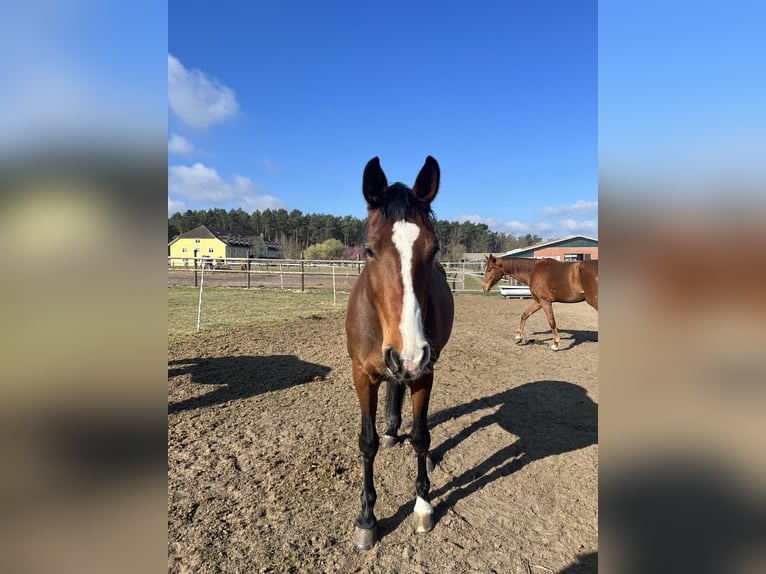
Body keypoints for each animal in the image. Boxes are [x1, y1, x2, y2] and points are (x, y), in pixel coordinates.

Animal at [345, 156, 454, 550]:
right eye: (369, 249)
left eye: (433, 249)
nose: (407, 354)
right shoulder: (362, 375)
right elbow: (368, 443)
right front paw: (366, 518)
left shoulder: (424, 372)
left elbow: (421, 436)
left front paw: (423, 504)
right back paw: (392, 430)